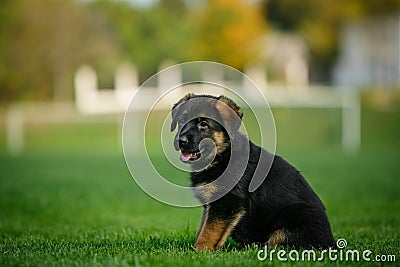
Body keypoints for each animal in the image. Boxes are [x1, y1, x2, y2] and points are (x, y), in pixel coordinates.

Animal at [170, 93, 336, 251]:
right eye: (181, 120)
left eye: (203, 124)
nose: (180, 141)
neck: (223, 155)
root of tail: (332, 243)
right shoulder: (212, 205)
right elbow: (203, 228)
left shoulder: (227, 202)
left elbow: (209, 232)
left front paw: (200, 251)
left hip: (294, 218)